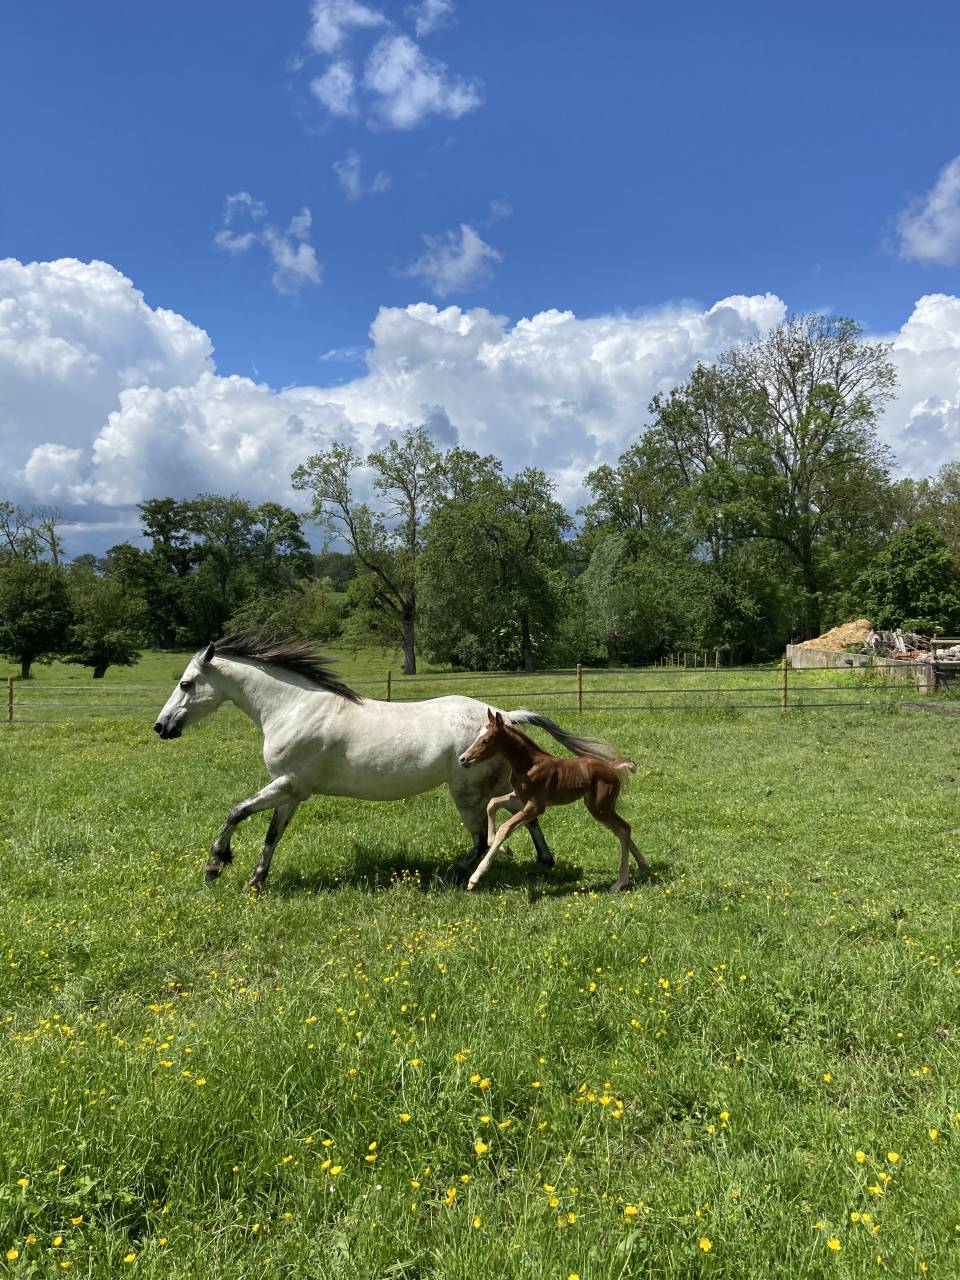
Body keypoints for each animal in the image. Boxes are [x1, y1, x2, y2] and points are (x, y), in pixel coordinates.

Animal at [152, 631, 615, 890]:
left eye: (186, 683)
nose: (161, 727)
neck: (293, 707)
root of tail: (500, 716)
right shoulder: (292, 792)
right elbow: (271, 834)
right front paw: (256, 880)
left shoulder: (287, 784)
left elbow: (236, 811)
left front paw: (215, 866)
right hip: (497, 783)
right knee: (525, 814)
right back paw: (543, 862)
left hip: (467, 792)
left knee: (483, 839)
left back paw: (451, 875)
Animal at [458, 708, 649, 893]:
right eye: (477, 736)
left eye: (486, 740)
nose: (463, 759)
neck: (529, 765)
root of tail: (611, 768)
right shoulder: (519, 797)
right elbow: (492, 803)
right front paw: (506, 850)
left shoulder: (536, 806)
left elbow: (505, 827)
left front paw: (475, 878)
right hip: (596, 806)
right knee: (621, 829)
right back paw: (642, 867)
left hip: (600, 807)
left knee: (623, 829)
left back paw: (620, 882)